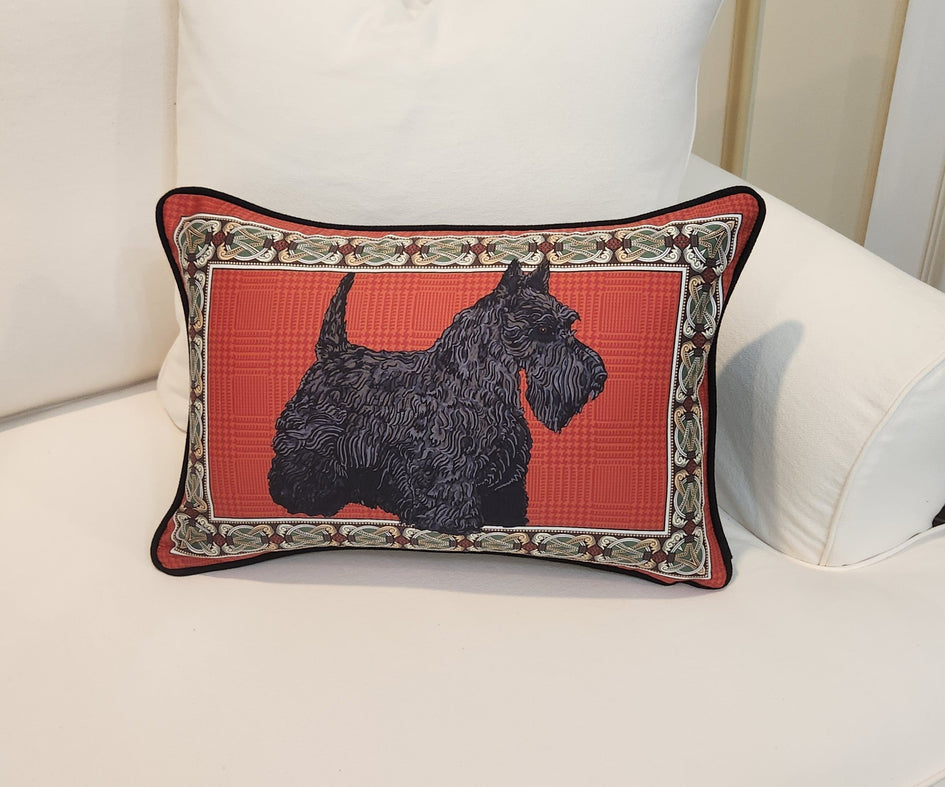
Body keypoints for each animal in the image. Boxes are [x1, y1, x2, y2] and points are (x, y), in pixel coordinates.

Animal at [268, 259, 607, 534]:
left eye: (569, 324)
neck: (474, 384)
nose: (599, 376)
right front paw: (453, 525)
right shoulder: (450, 468)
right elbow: (451, 499)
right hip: (310, 439)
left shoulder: (506, 476)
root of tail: (332, 352)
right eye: (544, 329)